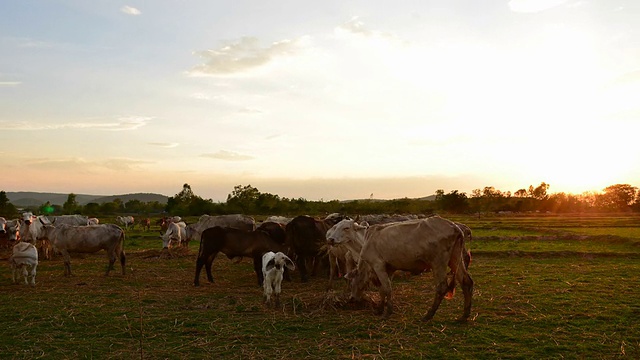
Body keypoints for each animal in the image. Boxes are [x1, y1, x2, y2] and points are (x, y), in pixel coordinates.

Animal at [342, 215, 472, 322]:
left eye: (352, 283)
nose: (351, 299)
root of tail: (455, 226)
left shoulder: (378, 265)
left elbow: (386, 288)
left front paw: (387, 312)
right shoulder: (389, 268)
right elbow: (383, 289)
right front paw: (380, 308)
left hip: (438, 262)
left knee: (442, 287)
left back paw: (428, 315)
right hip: (455, 258)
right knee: (466, 281)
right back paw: (464, 316)